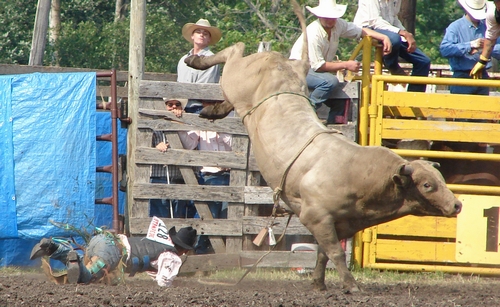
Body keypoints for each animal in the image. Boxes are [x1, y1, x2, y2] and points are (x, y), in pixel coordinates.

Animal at [186, 0, 462, 294]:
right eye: (427, 185)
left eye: (440, 178)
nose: (457, 205)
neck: (360, 174)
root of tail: (288, 63)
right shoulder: (317, 217)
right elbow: (335, 253)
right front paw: (352, 285)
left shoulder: (341, 223)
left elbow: (322, 254)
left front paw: (318, 283)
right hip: (236, 77)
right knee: (234, 49)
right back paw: (196, 60)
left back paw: (212, 109)